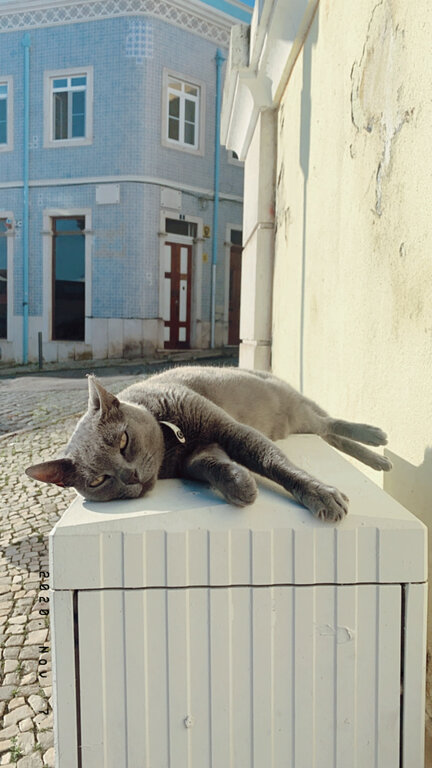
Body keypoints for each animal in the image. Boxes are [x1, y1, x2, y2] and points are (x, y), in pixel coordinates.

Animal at [26, 366, 392, 520]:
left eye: (123, 441)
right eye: (99, 480)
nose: (130, 476)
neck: (172, 446)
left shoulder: (229, 429)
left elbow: (272, 462)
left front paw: (321, 495)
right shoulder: (196, 457)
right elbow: (212, 466)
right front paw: (240, 484)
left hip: (292, 406)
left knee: (330, 424)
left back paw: (377, 442)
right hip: (296, 419)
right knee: (327, 433)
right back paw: (380, 457)